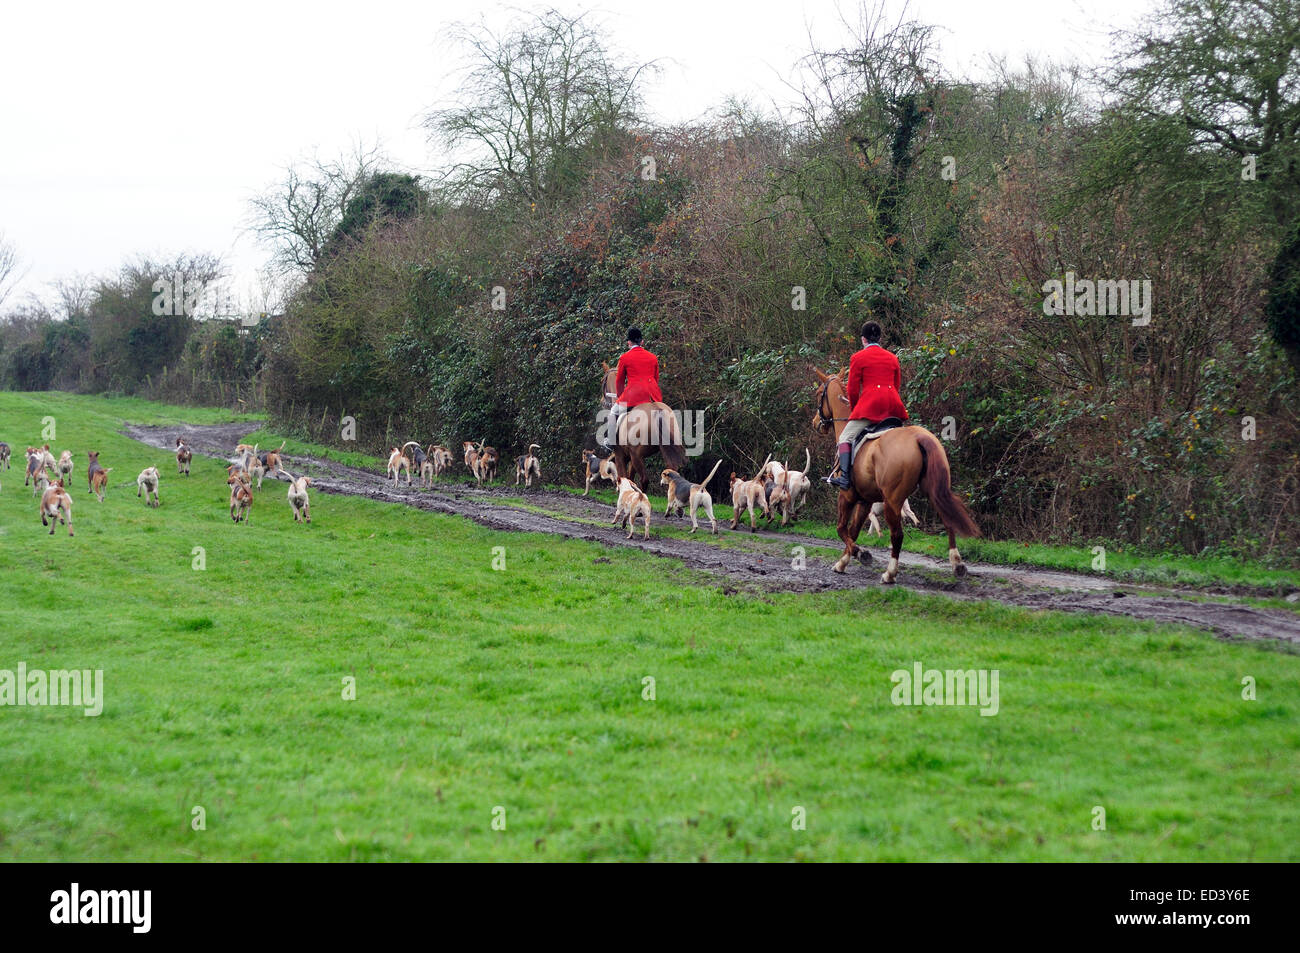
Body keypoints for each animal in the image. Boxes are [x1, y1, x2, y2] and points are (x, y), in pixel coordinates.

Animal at [806, 369, 977, 582]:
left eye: (818, 393)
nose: (815, 423)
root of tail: (918, 437)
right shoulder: (865, 500)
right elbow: (853, 531)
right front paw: (843, 562)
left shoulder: (846, 495)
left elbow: (841, 528)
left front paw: (860, 554)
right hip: (935, 491)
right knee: (948, 522)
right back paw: (957, 564)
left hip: (892, 500)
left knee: (897, 534)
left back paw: (890, 573)